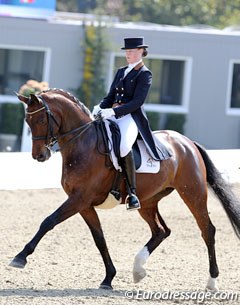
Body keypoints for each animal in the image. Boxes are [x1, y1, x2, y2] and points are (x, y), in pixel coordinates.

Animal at [9, 88, 240, 290]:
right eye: (27, 121)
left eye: (40, 120)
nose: (39, 156)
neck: (83, 143)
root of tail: (187, 142)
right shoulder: (84, 205)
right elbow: (99, 239)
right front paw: (108, 278)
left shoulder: (79, 199)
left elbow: (48, 221)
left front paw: (20, 257)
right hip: (147, 201)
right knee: (161, 231)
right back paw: (138, 270)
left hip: (193, 193)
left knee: (207, 230)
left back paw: (212, 282)